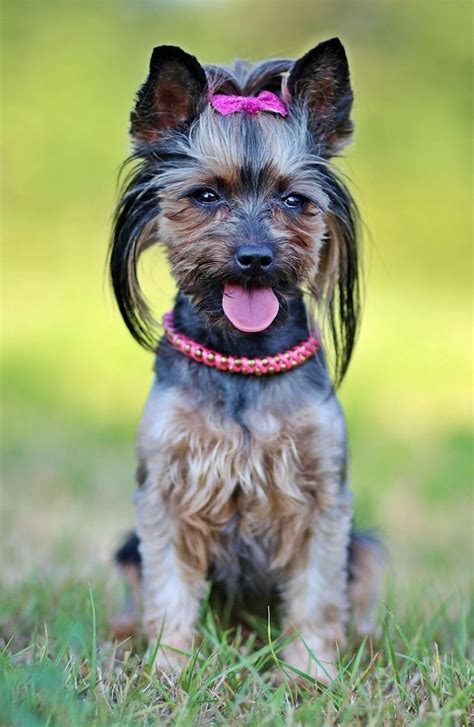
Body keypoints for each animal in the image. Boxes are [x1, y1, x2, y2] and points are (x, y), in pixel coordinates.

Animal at [109, 38, 384, 684]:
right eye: (205, 195)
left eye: (295, 200)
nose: (255, 257)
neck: (242, 357)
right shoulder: (166, 493)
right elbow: (169, 593)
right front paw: (169, 671)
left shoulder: (322, 499)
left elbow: (317, 597)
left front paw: (311, 676)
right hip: (126, 547)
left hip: (365, 547)